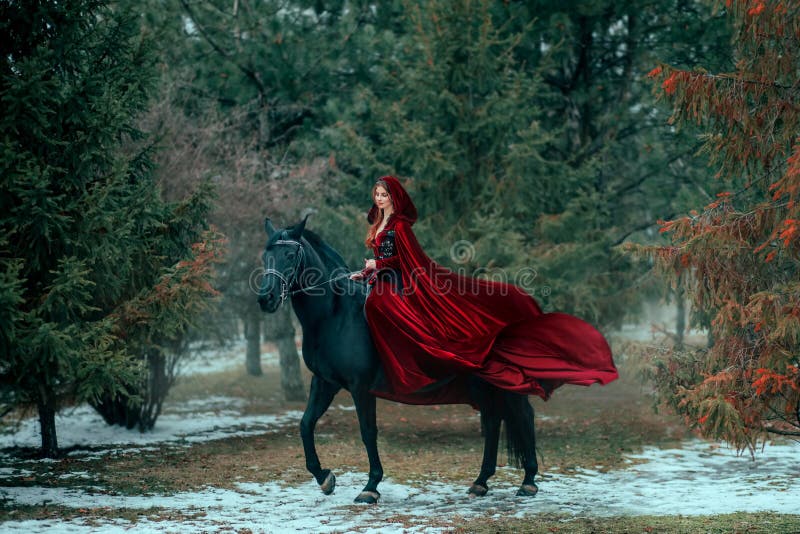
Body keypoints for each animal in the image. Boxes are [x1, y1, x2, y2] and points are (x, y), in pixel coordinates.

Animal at [260, 216, 540, 504]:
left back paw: (528, 482)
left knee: (523, 415)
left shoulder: (361, 387)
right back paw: (481, 482)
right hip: (483, 384)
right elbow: (305, 424)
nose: (266, 299)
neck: (336, 315)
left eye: (290, 255)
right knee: (494, 420)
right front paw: (325, 478)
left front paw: (370, 486)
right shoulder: (325, 382)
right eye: (265, 256)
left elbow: (368, 431)